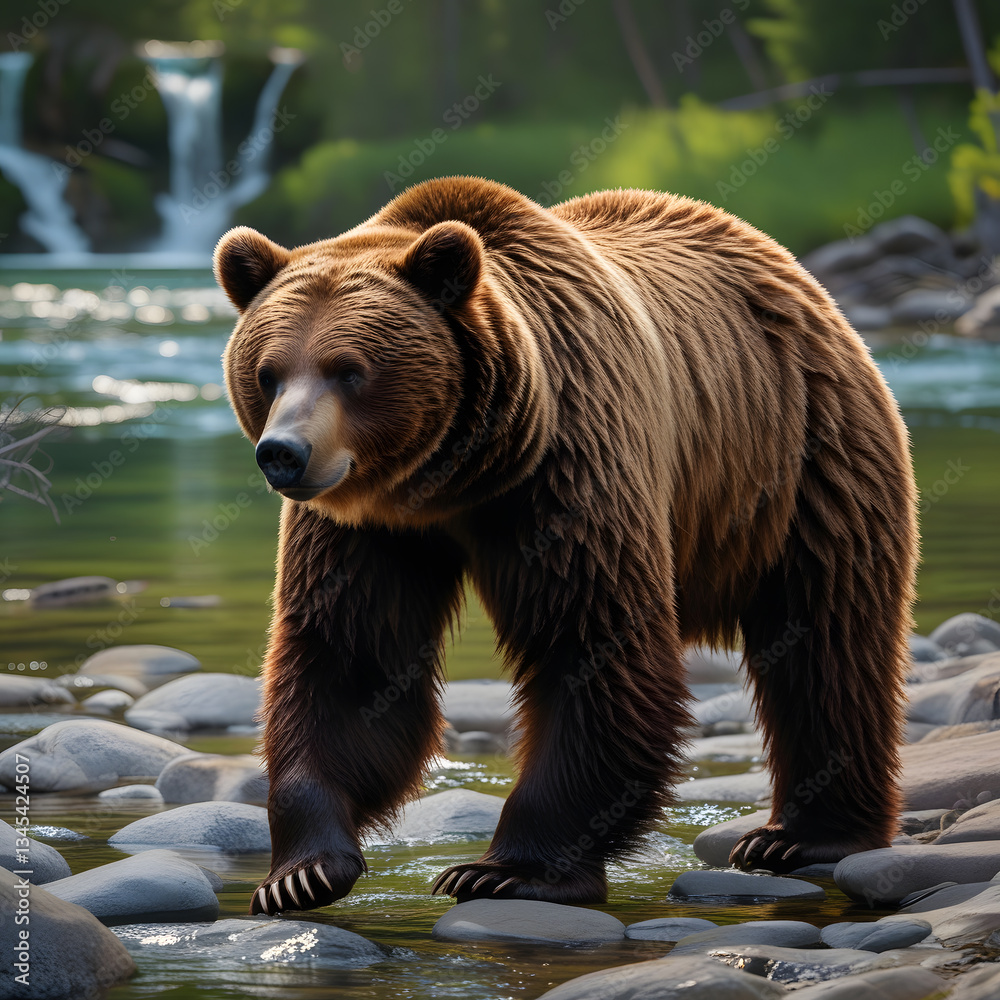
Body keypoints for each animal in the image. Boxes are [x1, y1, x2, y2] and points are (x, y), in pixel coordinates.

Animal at [214, 176, 918, 916]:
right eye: (267, 372)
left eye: (348, 369)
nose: (284, 453)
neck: (455, 478)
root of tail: (791, 268)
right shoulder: (367, 527)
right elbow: (353, 663)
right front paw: (301, 873)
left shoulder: (568, 465)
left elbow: (588, 642)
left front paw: (503, 870)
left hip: (801, 456)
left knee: (826, 639)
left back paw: (804, 837)